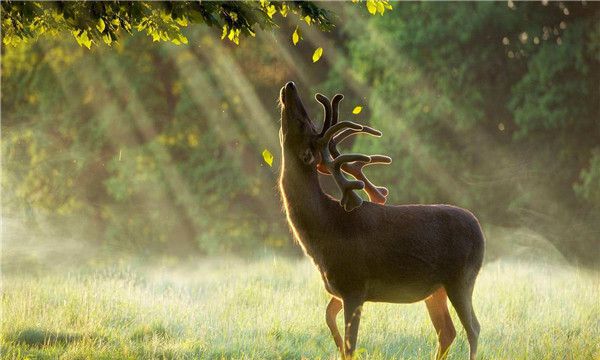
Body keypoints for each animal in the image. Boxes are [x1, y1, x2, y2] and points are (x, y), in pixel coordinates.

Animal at [278, 82, 486, 360]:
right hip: (436, 289)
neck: (323, 231)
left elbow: (351, 344)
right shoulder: (338, 288)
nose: (290, 86)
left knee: (473, 328)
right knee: (447, 331)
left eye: (304, 124)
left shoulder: (354, 285)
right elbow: (328, 319)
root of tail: (480, 230)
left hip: (461, 277)